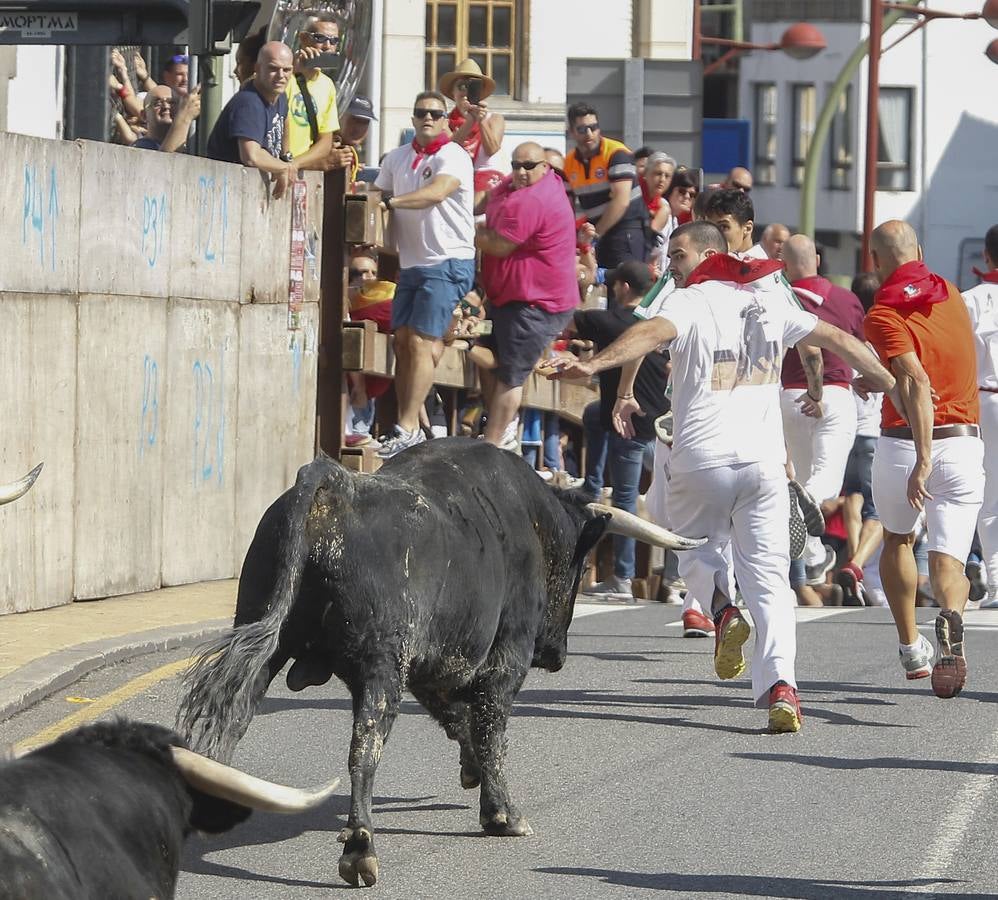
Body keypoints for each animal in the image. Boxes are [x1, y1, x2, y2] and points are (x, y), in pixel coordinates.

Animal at [176, 438, 700, 884]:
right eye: (580, 565)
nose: (557, 655)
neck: (531, 518)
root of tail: (336, 484)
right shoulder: (504, 657)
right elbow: (489, 727)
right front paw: (503, 815)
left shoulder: (435, 664)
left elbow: (458, 718)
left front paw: (473, 775)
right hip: (382, 664)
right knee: (365, 745)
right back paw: (360, 850)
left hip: (266, 638)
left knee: (229, 724)